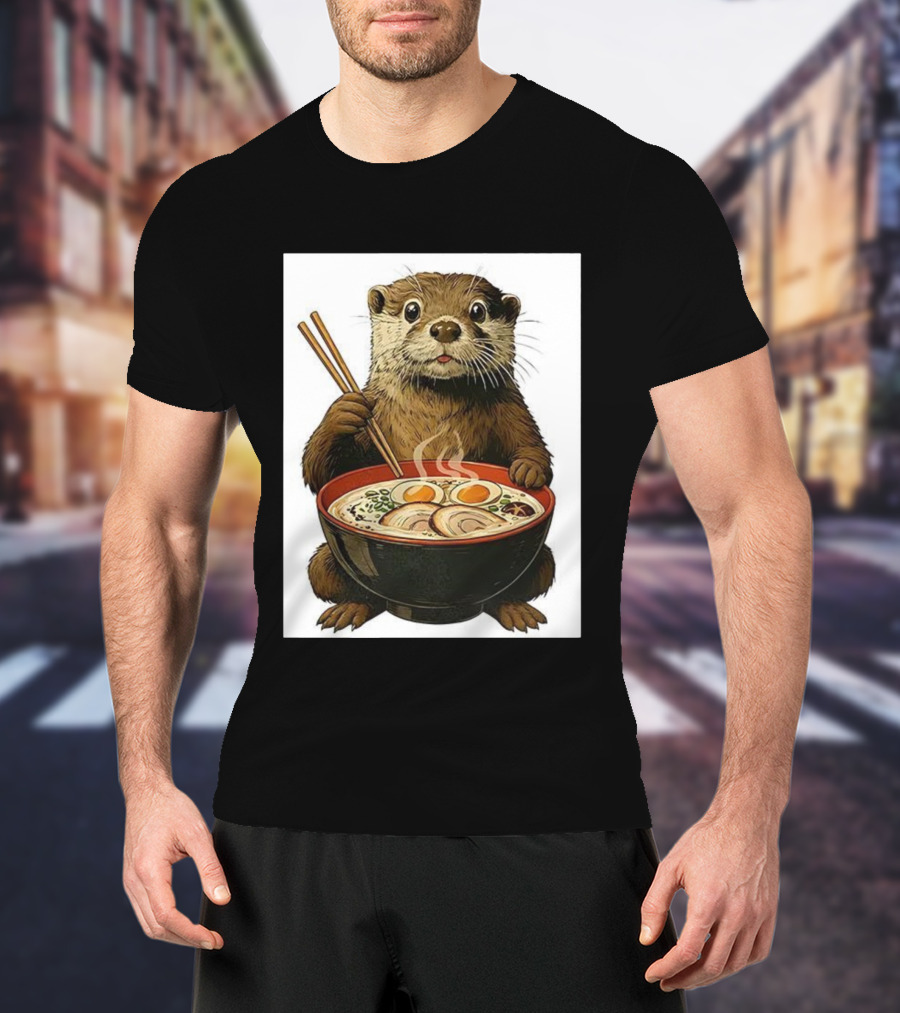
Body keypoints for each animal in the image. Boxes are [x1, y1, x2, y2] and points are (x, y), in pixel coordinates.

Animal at [302, 271, 555, 632]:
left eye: (478, 310)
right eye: (412, 310)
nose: (445, 327)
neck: (437, 414)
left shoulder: (513, 409)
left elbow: (531, 443)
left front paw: (528, 470)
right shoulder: (374, 414)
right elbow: (319, 473)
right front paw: (345, 410)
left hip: (543, 559)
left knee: (527, 578)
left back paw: (517, 611)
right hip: (325, 561)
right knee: (335, 578)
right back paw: (349, 610)